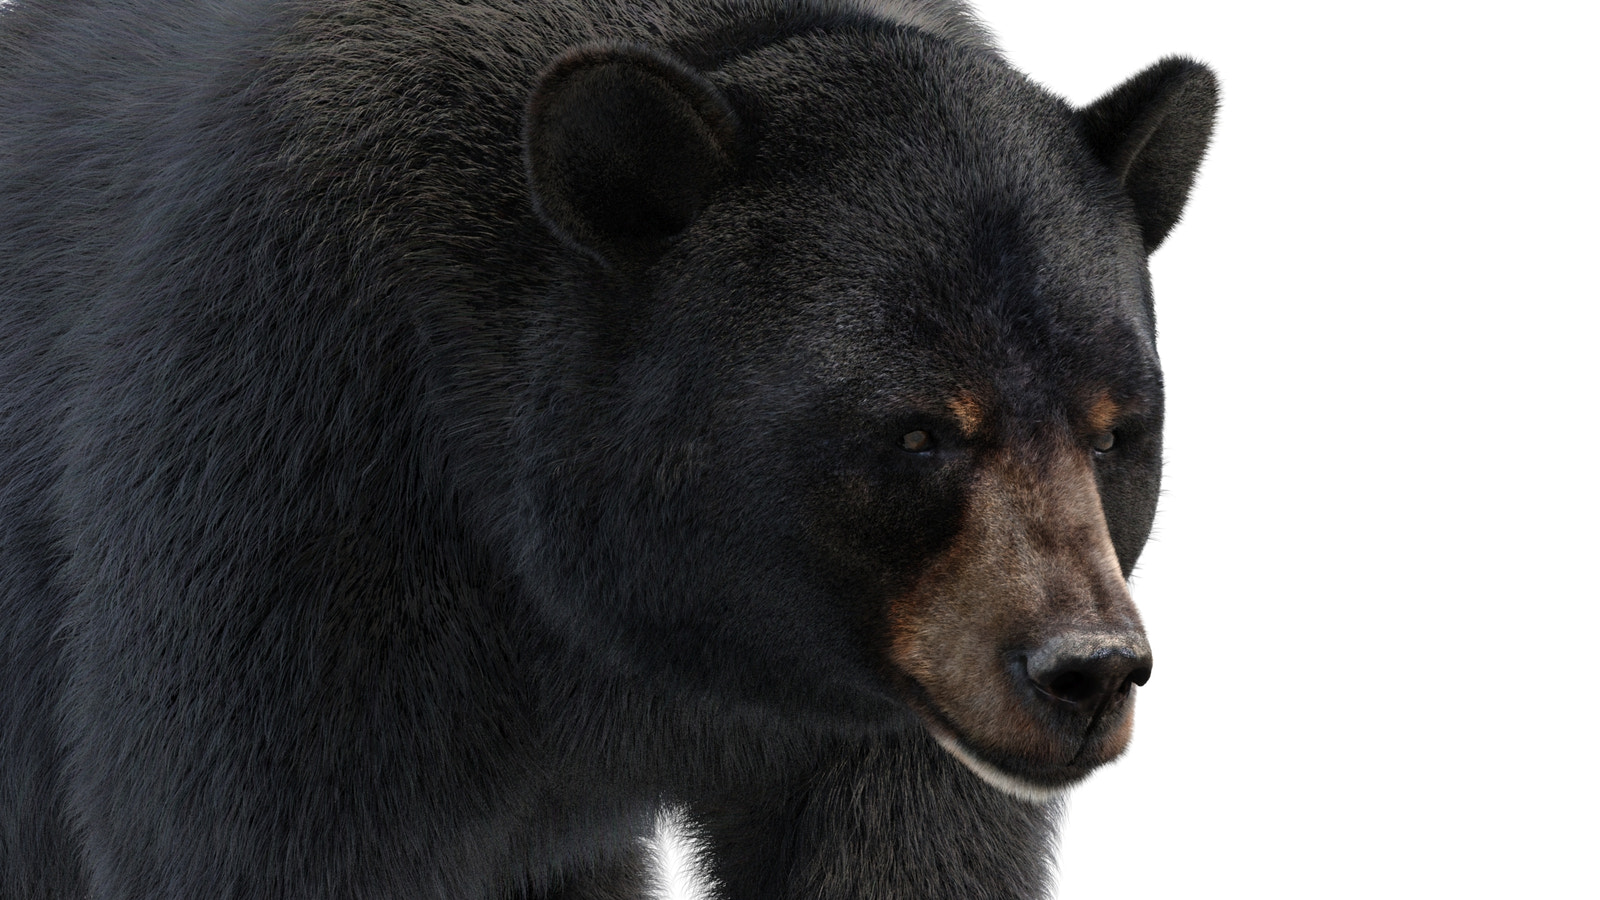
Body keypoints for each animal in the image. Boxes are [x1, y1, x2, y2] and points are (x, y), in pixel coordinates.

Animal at [0, 0, 1216, 897]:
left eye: (1116, 429)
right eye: (918, 429)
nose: (1086, 670)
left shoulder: (901, 690)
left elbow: (908, 848)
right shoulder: (302, 453)